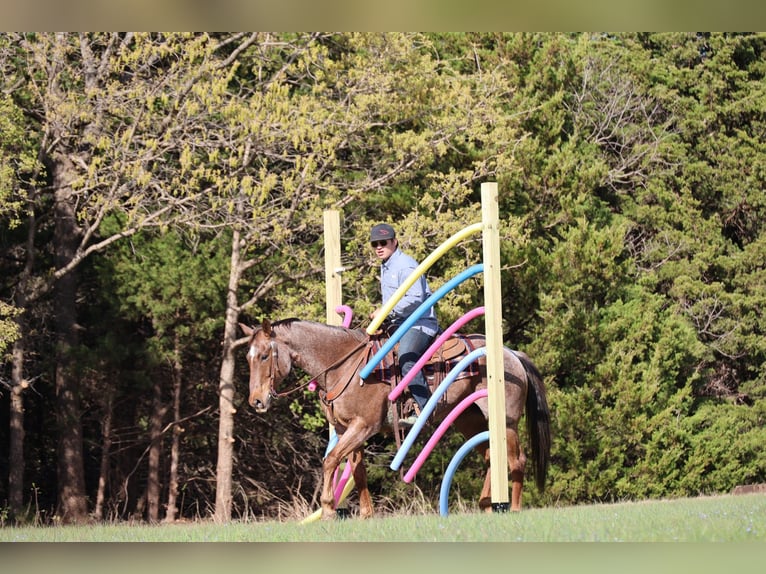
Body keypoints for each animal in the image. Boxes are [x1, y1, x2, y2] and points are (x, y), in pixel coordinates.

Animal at [240, 318, 551, 520]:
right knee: (489, 456)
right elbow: (357, 469)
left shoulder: (363, 427)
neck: (344, 365)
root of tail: (511, 353)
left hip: (506, 421)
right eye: (248, 357)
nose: (256, 401)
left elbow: (330, 460)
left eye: (265, 355)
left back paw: (511, 507)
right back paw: (486, 505)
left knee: (516, 460)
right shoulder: (346, 429)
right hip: (469, 419)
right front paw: (366, 514)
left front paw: (328, 507)